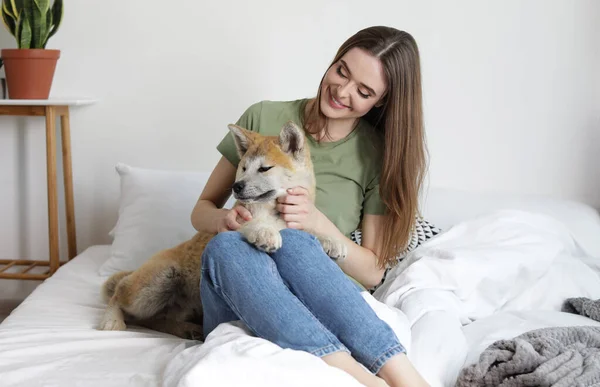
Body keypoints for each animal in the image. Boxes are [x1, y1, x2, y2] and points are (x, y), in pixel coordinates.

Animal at [98, 121, 346, 340]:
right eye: (243, 168)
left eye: (265, 168)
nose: (237, 186)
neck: (273, 213)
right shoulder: (236, 221)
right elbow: (249, 224)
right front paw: (264, 232)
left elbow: (310, 232)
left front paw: (331, 240)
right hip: (159, 280)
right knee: (120, 296)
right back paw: (112, 319)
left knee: (152, 320)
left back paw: (185, 329)